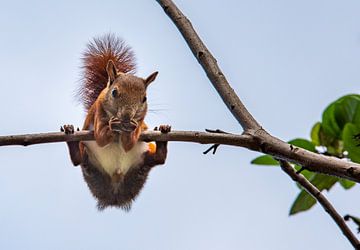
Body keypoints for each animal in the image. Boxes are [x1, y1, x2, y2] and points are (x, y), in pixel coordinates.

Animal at [62, 33, 171, 211]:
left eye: (144, 99)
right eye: (114, 92)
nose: (126, 117)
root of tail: (115, 190)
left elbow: (129, 143)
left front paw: (129, 130)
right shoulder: (98, 113)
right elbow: (100, 138)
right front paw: (112, 126)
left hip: (144, 158)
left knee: (158, 159)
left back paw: (163, 136)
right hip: (87, 158)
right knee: (78, 159)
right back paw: (71, 135)